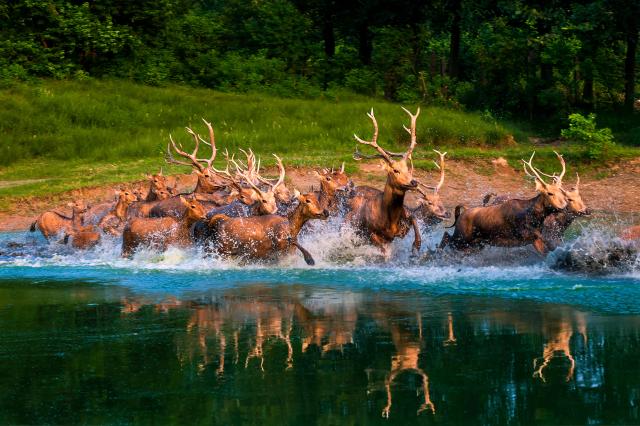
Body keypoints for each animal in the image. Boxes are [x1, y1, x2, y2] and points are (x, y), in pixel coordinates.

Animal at [344, 108, 424, 258]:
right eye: (395, 170)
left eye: (408, 169)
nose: (414, 182)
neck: (390, 221)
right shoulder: (371, 233)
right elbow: (383, 251)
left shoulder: (402, 227)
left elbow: (414, 218)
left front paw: (416, 245)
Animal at [440, 152, 568, 255]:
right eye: (549, 193)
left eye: (561, 191)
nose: (563, 206)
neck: (536, 218)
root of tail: (463, 211)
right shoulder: (524, 233)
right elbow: (549, 242)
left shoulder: (533, 239)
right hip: (461, 237)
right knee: (446, 235)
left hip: (475, 243)